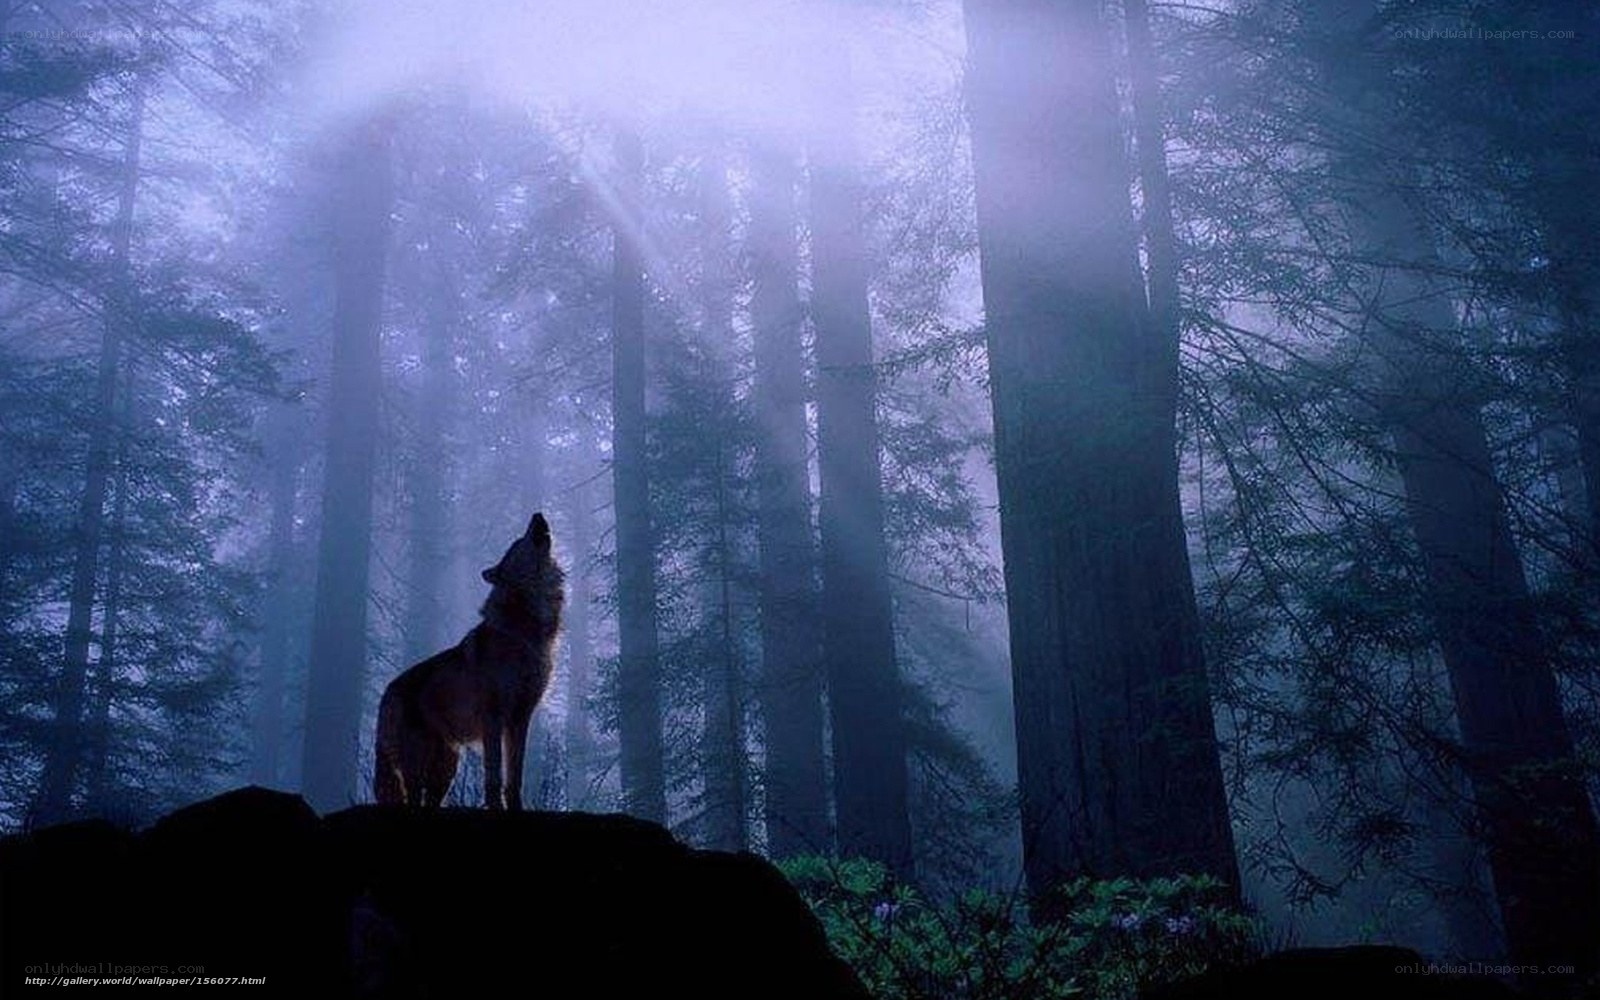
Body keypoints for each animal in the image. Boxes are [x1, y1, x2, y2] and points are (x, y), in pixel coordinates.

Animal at [374, 512, 565, 809]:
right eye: (517, 542)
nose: (537, 514)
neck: (524, 630)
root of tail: (388, 691)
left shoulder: (521, 718)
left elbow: (515, 777)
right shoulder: (493, 719)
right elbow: (494, 776)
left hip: (446, 769)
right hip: (417, 767)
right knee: (413, 799)